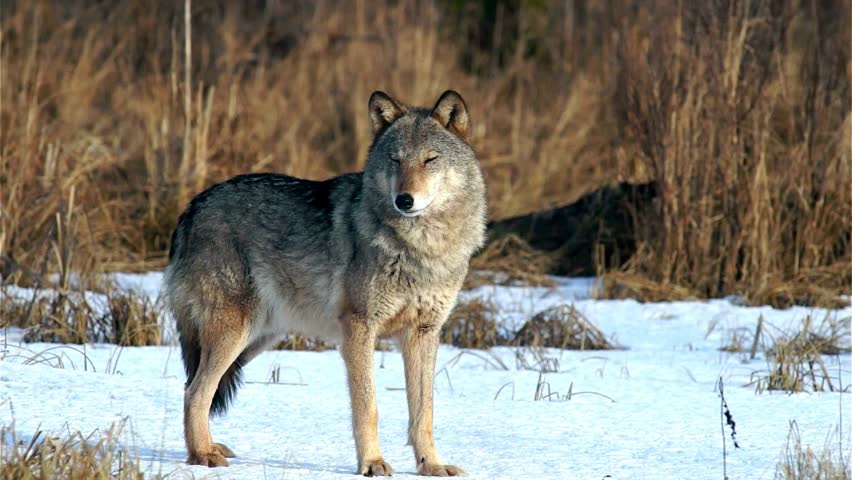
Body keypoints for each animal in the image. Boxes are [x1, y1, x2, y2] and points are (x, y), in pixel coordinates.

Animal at [161, 90, 487, 476]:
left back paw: (209, 447)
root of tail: (191, 207)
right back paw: (203, 456)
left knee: (194, 387)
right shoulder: (359, 328)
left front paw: (431, 465)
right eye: (395, 160)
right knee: (194, 392)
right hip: (234, 334)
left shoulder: (424, 333)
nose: (404, 200)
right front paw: (372, 463)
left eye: (430, 160)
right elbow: (367, 408)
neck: (422, 247)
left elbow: (424, 413)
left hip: (257, 339)